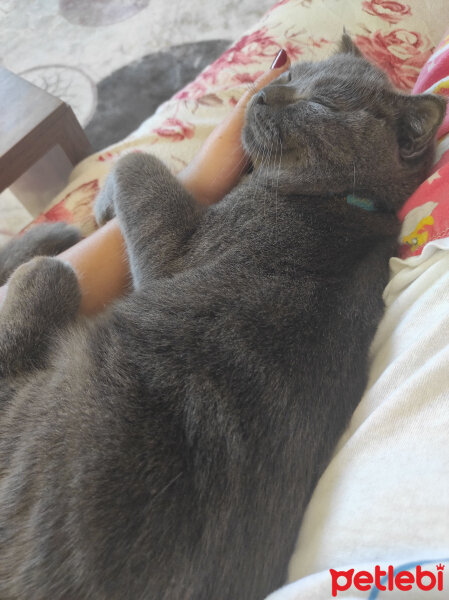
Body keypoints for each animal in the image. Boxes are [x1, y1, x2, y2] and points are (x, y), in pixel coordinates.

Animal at [0, 37, 444, 600]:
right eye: (292, 75)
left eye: (321, 103)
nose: (264, 94)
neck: (341, 203)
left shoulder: (173, 255)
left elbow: (140, 164)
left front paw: (102, 201)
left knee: (41, 301)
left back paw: (42, 261)